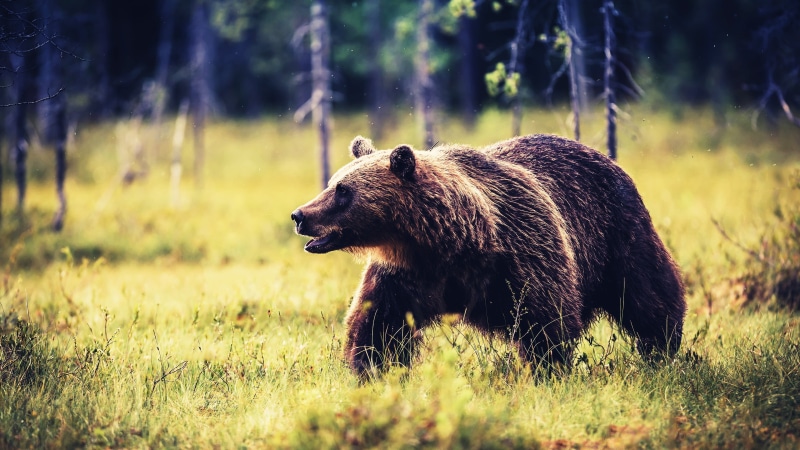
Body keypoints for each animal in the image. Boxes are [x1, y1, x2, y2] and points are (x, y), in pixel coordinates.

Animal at [291, 134, 686, 377]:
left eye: (343, 191)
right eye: (332, 183)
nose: (300, 215)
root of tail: (607, 158)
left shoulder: (523, 251)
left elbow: (546, 320)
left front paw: (547, 371)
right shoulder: (406, 273)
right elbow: (378, 324)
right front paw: (373, 369)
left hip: (618, 233)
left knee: (648, 295)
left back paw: (663, 349)